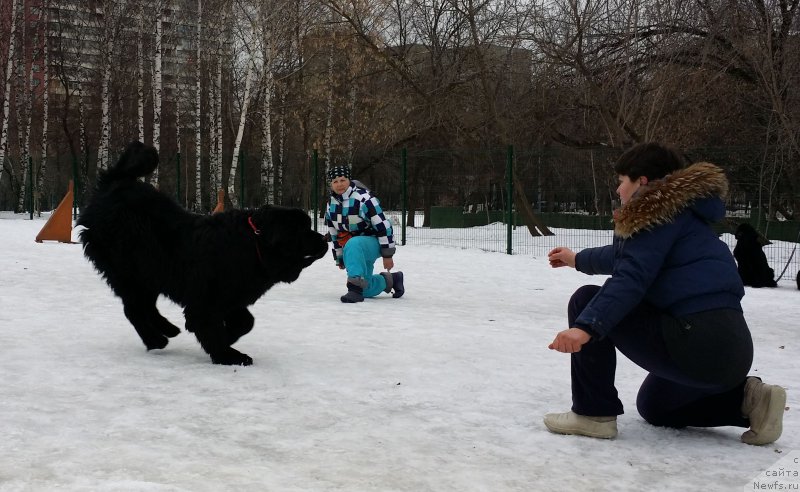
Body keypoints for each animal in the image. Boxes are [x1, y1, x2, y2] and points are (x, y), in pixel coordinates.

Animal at [79, 142, 330, 366]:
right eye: (302, 230)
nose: (324, 239)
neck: (254, 244)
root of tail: (113, 184)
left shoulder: (232, 296)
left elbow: (246, 322)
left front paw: (229, 339)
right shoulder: (206, 301)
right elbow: (211, 329)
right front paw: (229, 355)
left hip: (149, 273)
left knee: (144, 307)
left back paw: (167, 330)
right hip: (131, 271)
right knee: (133, 308)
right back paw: (156, 340)